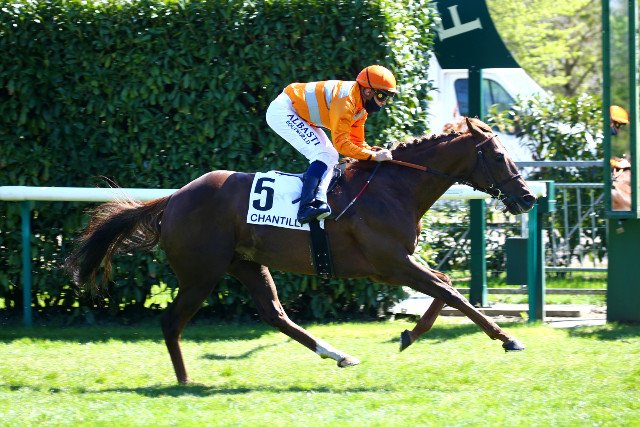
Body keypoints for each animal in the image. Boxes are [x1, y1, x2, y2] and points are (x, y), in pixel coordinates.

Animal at [65, 117, 537, 384]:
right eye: (498, 155)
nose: (528, 197)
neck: (393, 188)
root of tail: (173, 199)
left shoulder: (396, 264)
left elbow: (445, 287)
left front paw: (408, 334)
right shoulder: (391, 264)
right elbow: (451, 293)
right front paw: (508, 339)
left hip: (246, 265)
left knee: (275, 314)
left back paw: (339, 355)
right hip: (201, 274)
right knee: (170, 322)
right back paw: (184, 380)